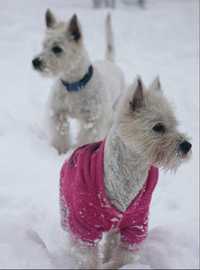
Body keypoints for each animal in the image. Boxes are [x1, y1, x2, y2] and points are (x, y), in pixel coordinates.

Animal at [32, 10, 124, 154]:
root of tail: (110, 62)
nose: (35, 62)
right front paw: (60, 150)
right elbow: (60, 132)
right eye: (44, 45)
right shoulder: (58, 113)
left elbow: (87, 138)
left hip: (114, 109)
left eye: (57, 49)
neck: (73, 84)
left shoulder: (92, 120)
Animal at [59, 76, 192, 268]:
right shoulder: (85, 227)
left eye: (175, 124)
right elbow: (88, 257)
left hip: (115, 229)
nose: (187, 146)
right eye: (158, 127)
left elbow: (123, 257)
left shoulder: (135, 226)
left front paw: (113, 265)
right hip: (66, 208)